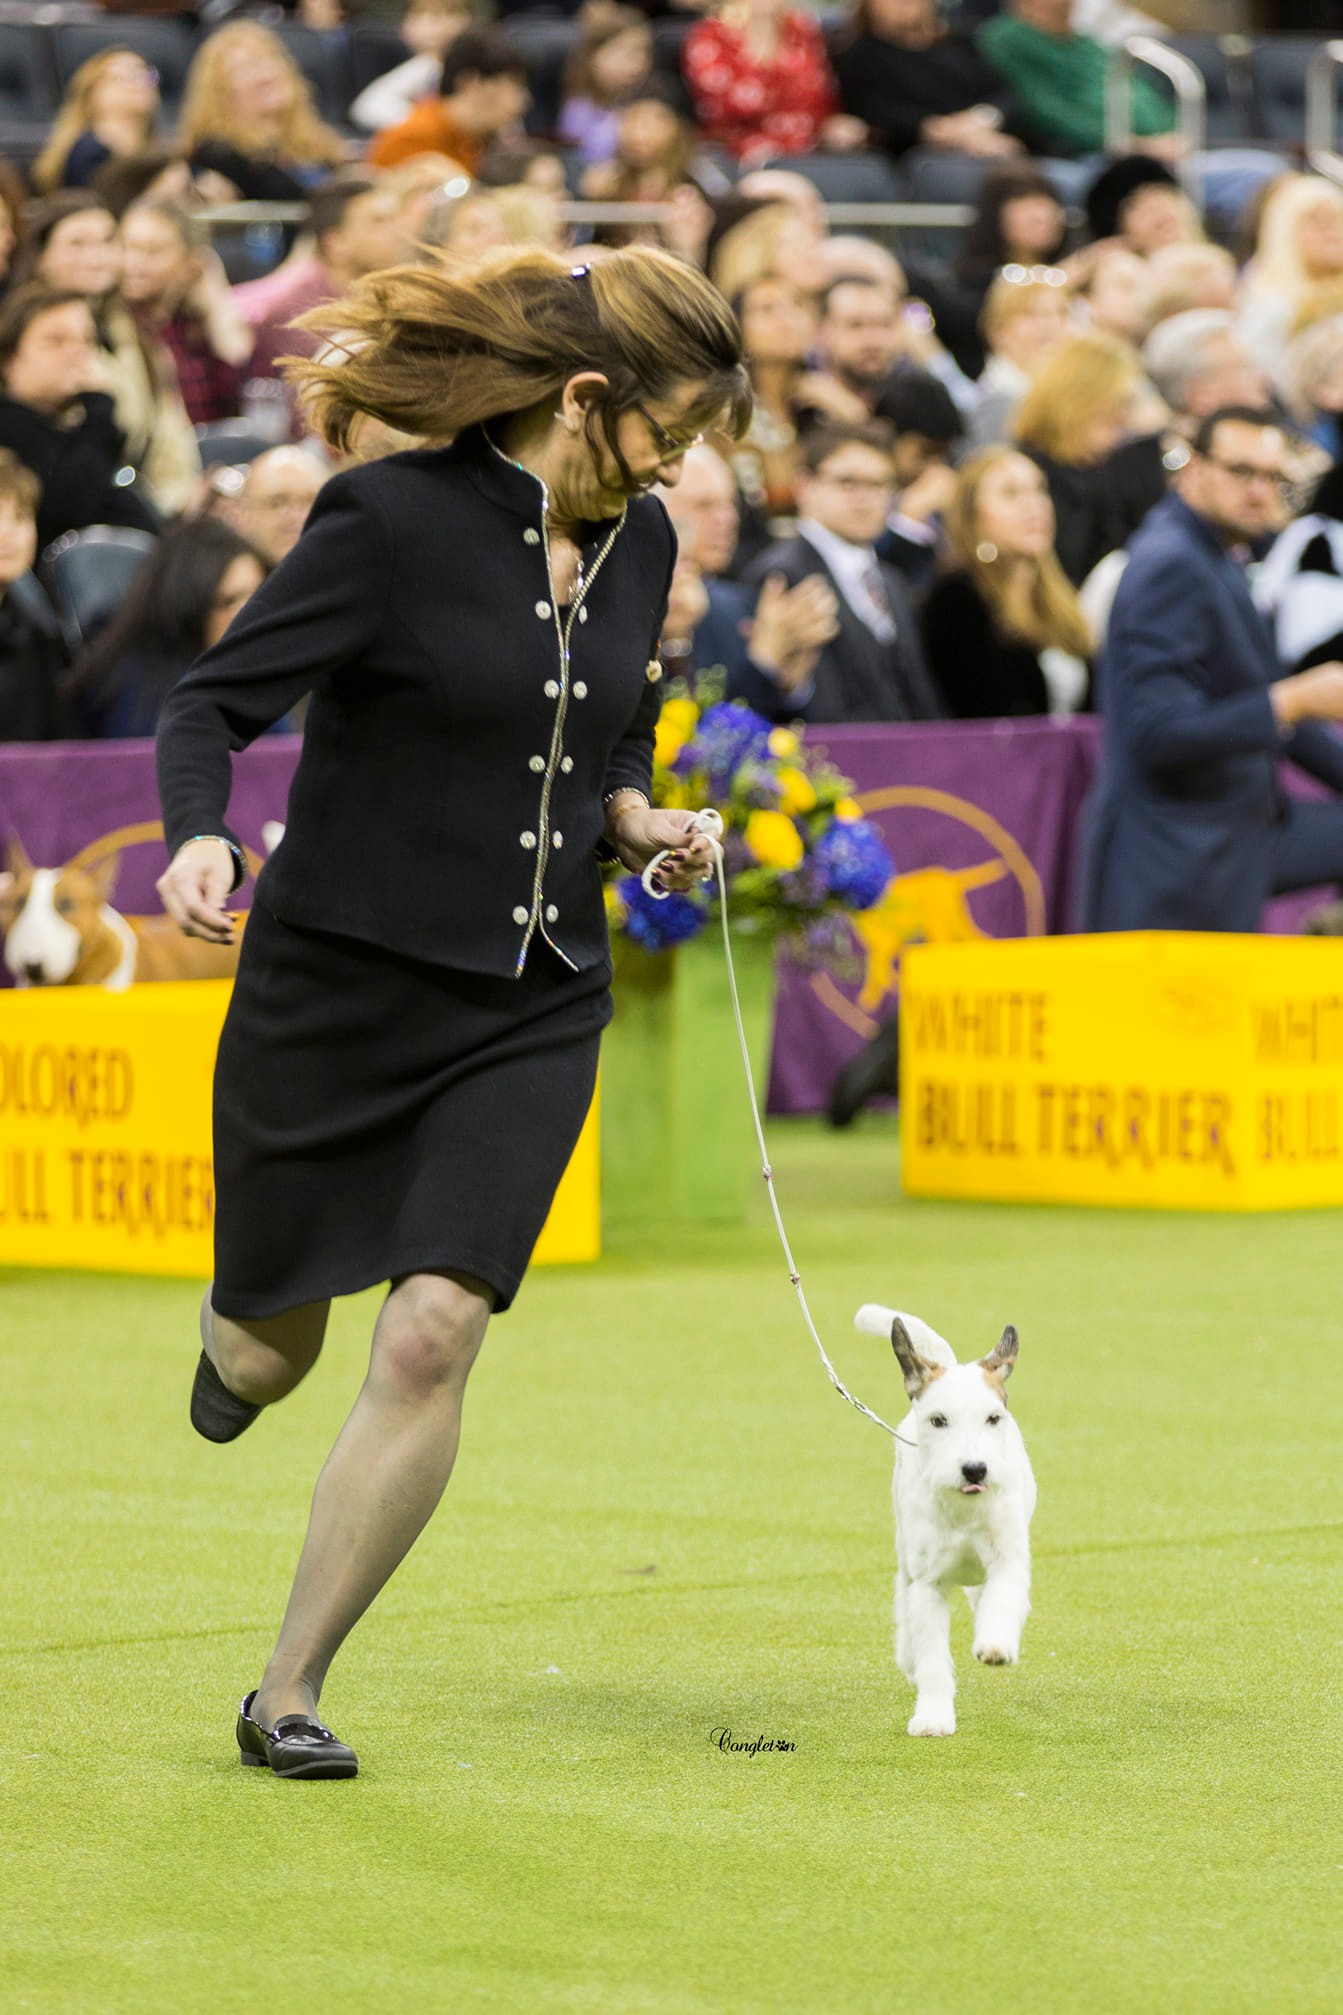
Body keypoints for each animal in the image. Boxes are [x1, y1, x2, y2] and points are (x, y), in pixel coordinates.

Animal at [857, 1305, 1038, 1732]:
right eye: (938, 1420)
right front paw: (933, 1717)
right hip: (905, 1552)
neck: (964, 1512)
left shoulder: (1008, 1558)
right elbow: (932, 1661)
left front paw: (995, 1645)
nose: (975, 1469)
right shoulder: (928, 1584)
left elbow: (1002, 1598)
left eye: (993, 1418)